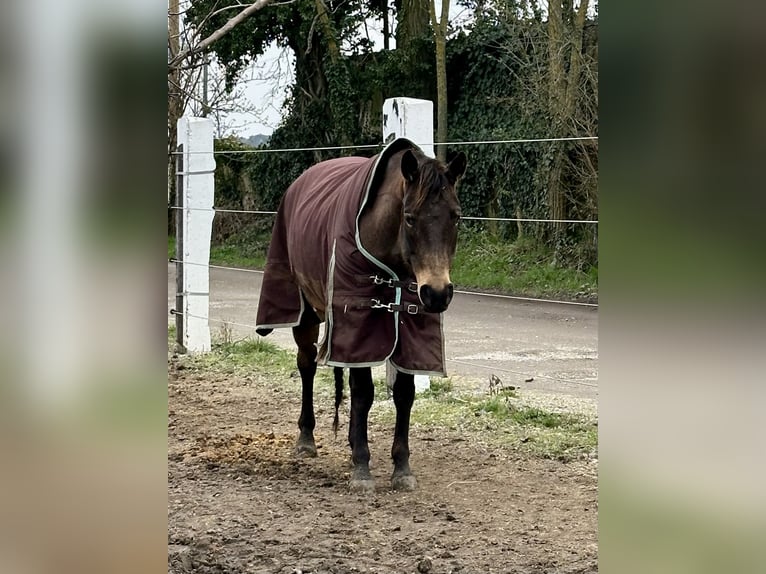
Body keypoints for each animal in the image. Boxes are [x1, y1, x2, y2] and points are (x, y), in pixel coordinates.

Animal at [255, 138, 466, 492]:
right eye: (410, 217)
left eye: (456, 216)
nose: (437, 293)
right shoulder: (358, 323)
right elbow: (364, 393)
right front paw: (362, 468)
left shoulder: (406, 329)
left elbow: (404, 394)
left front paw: (401, 467)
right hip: (307, 313)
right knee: (307, 365)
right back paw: (306, 438)